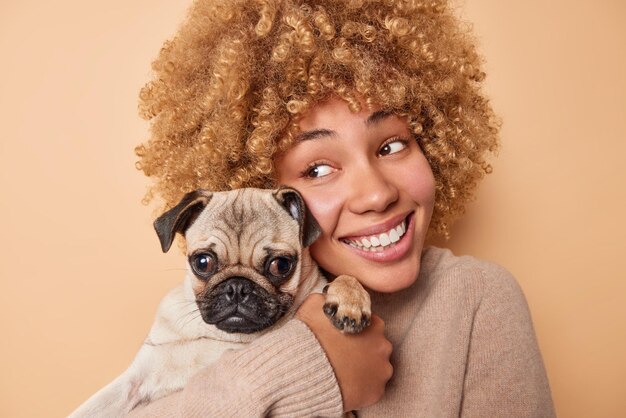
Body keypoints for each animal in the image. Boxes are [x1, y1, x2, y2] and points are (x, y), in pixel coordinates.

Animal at [69, 188, 370, 416]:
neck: (225, 337)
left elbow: (346, 277)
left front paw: (349, 300)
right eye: (203, 262)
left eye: (281, 265)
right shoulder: (137, 378)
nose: (237, 287)